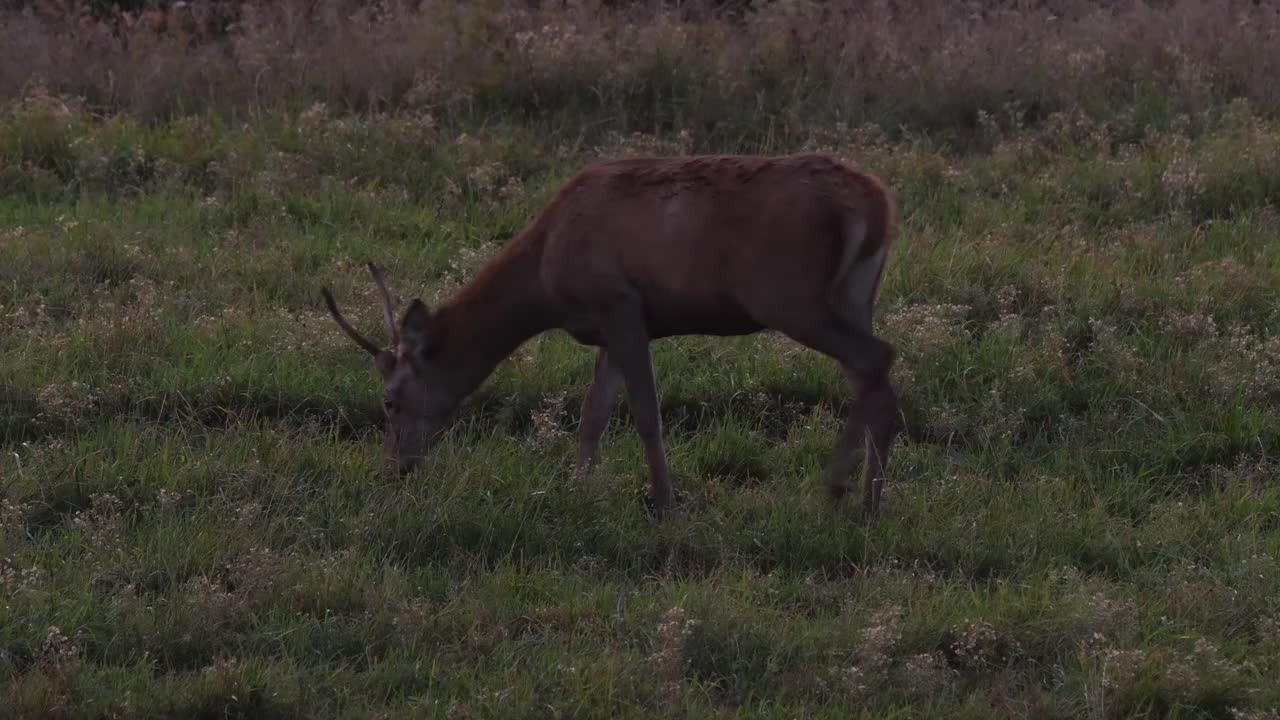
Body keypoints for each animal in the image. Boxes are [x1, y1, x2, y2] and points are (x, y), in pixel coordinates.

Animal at [318, 151, 901, 512]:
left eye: (390, 401)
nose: (394, 466)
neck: (545, 276)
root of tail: (876, 205)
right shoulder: (607, 325)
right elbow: (593, 415)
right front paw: (577, 492)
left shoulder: (619, 302)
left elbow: (644, 414)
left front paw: (665, 502)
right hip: (855, 293)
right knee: (873, 370)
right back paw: (872, 497)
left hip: (785, 294)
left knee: (873, 359)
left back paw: (838, 487)